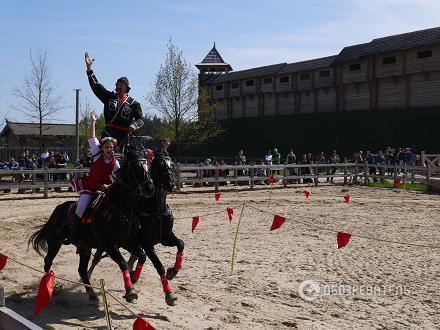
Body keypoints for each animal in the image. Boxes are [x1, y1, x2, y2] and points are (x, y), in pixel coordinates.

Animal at [27, 151, 155, 302]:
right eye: (136, 167)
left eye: (149, 167)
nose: (150, 188)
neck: (119, 209)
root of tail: (59, 208)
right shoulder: (110, 246)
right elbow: (123, 263)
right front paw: (130, 291)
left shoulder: (127, 242)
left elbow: (142, 255)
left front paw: (134, 278)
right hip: (55, 242)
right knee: (48, 261)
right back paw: (50, 285)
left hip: (84, 248)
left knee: (81, 270)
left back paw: (92, 293)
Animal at [88, 152, 185, 306]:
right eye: (160, 165)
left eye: (172, 165)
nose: (171, 184)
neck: (156, 209)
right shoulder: (147, 243)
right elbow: (159, 266)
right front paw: (169, 294)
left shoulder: (165, 237)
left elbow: (181, 244)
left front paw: (173, 271)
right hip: (107, 243)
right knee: (96, 259)